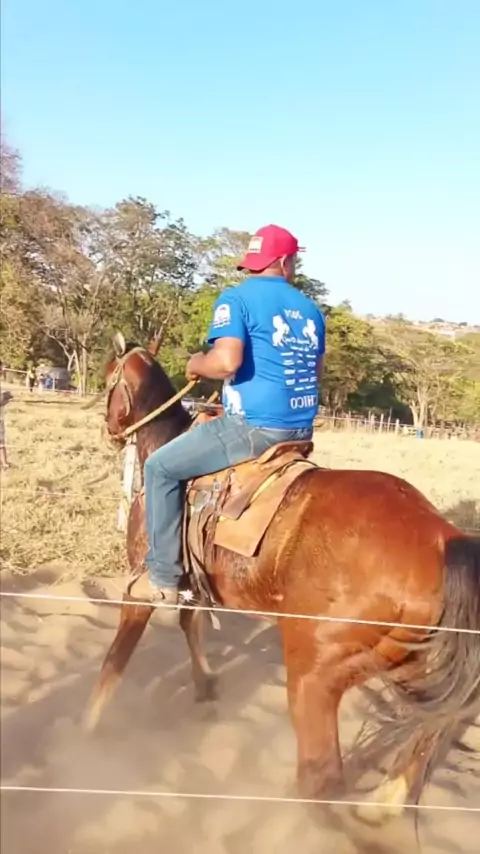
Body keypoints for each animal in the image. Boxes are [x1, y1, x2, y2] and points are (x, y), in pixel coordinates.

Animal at [84, 334, 480, 823]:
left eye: (108, 378)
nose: (110, 432)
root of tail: (445, 540)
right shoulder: (194, 585)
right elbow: (190, 625)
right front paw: (206, 691)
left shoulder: (141, 587)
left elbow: (114, 663)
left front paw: (85, 733)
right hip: (413, 671)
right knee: (420, 747)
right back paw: (378, 808)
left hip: (314, 676)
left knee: (321, 778)